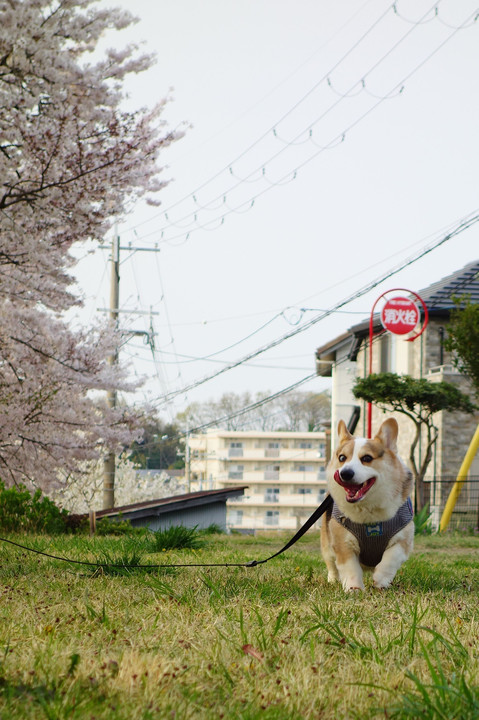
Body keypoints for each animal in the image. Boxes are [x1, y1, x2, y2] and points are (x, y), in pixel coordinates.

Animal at [324, 416, 414, 592]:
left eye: (367, 458)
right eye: (342, 458)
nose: (345, 473)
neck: (368, 509)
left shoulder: (403, 540)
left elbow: (390, 559)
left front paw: (381, 580)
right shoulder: (342, 543)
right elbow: (350, 568)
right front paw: (354, 589)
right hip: (327, 545)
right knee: (331, 565)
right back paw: (332, 580)